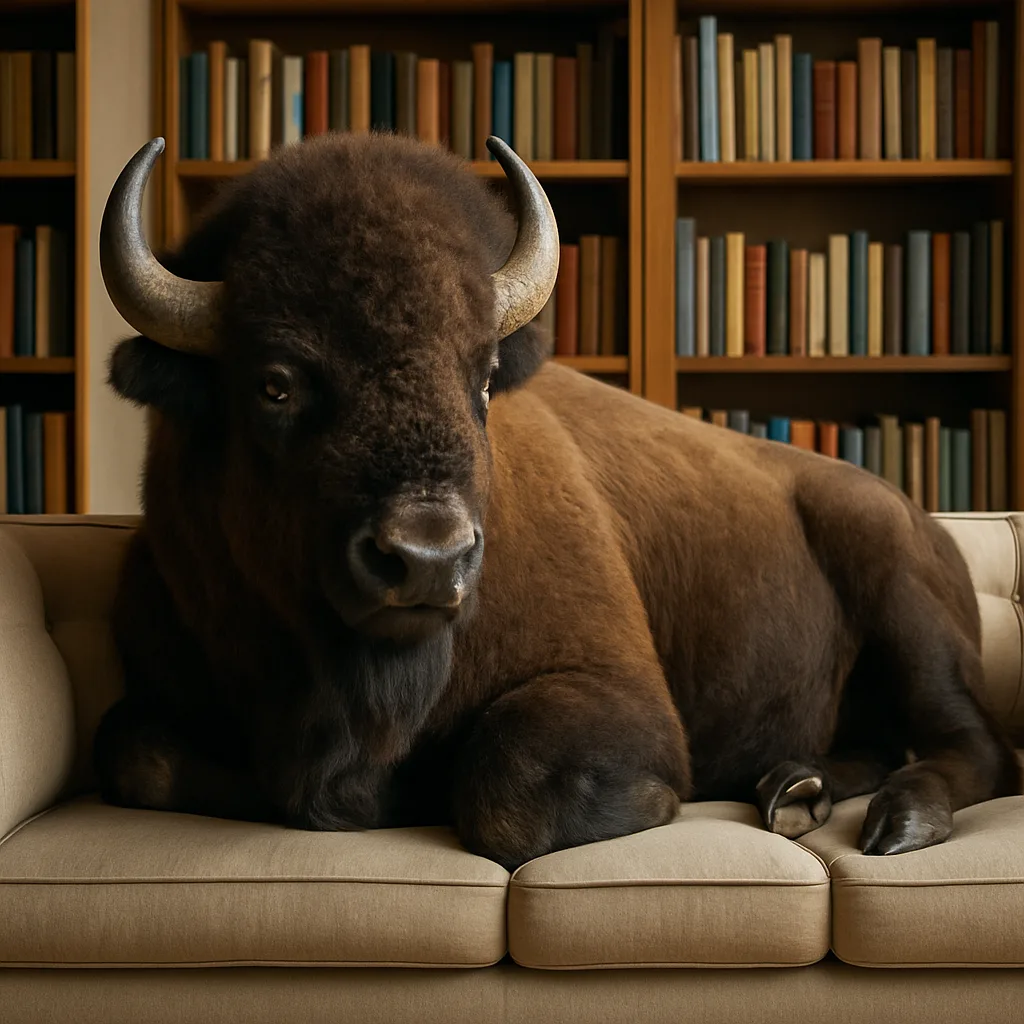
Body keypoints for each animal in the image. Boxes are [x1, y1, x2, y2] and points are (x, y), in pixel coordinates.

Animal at [94, 131, 1021, 870]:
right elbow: (139, 758)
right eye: (275, 383)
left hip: (900, 596)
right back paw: (796, 786)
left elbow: (511, 792)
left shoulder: (616, 692)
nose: (427, 558)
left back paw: (894, 820)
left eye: (482, 376)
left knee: (976, 747)